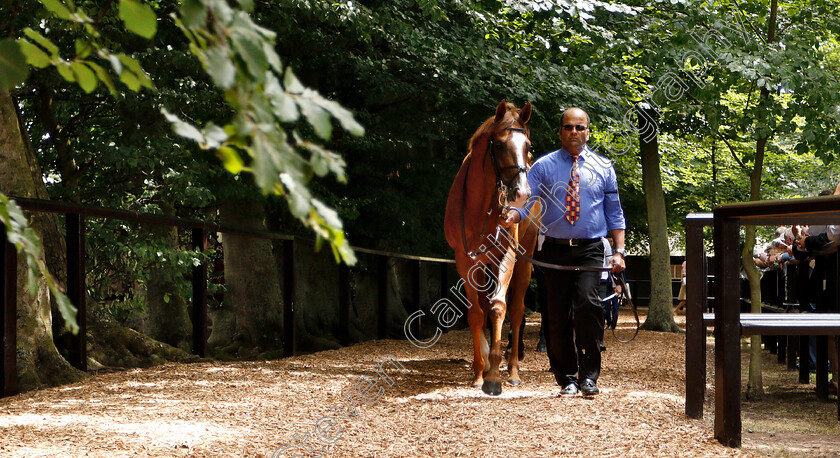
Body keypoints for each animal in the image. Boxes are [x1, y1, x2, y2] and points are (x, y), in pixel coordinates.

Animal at [442, 99, 540, 394]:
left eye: (528, 146)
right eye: (499, 145)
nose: (521, 193)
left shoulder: (507, 255)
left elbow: (498, 307)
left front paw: (494, 375)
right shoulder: (465, 260)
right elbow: (476, 313)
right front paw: (479, 370)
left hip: (524, 260)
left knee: (517, 310)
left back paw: (513, 369)